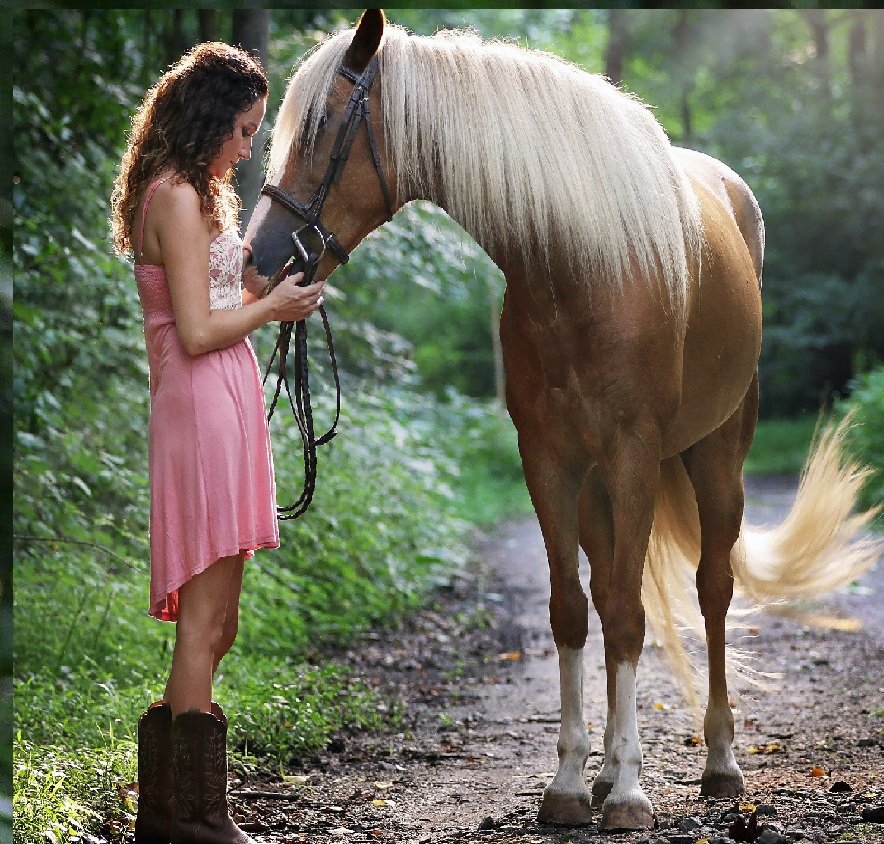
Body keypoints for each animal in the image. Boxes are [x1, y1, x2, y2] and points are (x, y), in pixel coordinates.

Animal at [245, 10, 880, 831]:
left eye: (323, 125)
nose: (259, 257)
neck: (580, 268)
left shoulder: (633, 454)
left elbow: (631, 615)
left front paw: (633, 792)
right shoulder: (549, 462)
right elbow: (573, 612)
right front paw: (576, 783)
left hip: (715, 457)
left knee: (711, 590)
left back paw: (719, 762)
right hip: (599, 490)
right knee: (614, 594)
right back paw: (610, 770)